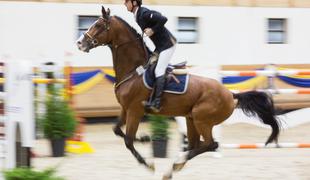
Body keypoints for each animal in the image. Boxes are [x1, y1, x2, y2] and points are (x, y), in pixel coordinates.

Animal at [77, 6, 280, 178]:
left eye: (99, 25)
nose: (80, 43)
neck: (133, 70)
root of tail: (231, 95)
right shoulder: (125, 109)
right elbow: (118, 130)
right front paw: (145, 138)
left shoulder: (135, 110)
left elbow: (127, 139)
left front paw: (148, 163)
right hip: (191, 119)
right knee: (197, 144)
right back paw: (175, 165)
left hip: (202, 119)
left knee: (211, 144)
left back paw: (176, 163)